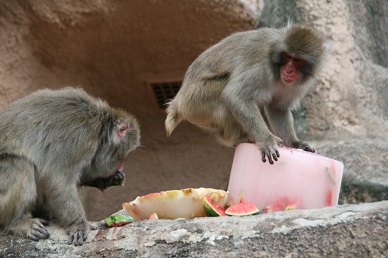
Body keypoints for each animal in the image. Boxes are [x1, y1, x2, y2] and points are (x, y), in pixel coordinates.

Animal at [0, 87, 141, 246]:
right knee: (20, 165)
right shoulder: (81, 136)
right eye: (126, 153)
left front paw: (110, 179)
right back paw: (16, 223)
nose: (121, 165)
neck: (100, 127)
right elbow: (58, 180)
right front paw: (78, 225)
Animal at [165, 24, 326, 165]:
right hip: (195, 103)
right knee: (224, 92)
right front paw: (266, 139)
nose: (288, 70)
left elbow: (278, 108)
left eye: (297, 60)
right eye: (287, 56)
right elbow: (236, 96)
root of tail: (177, 103)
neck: (276, 67)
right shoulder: (262, 65)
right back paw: (239, 138)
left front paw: (295, 143)